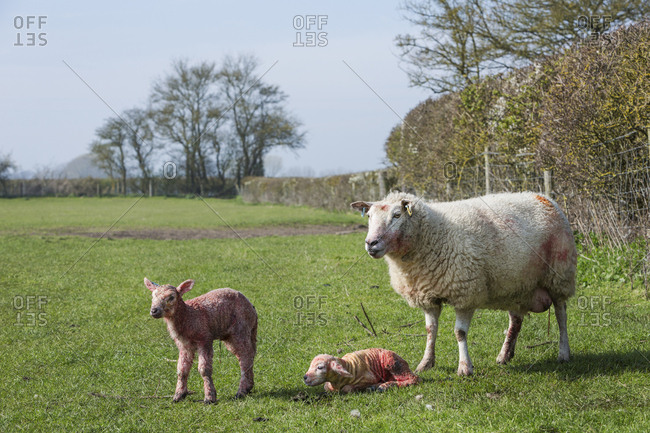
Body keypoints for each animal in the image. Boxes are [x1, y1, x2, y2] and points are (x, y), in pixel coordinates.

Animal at [350, 191, 577, 376]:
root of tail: (544, 198)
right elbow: (430, 330)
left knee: (561, 315)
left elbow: (460, 333)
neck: (433, 234)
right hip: (517, 286)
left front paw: (465, 367)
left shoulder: (465, 292)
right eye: (369, 217)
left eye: (397, 215)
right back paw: (505, 355)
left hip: (559, 275)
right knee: (516, 321)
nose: (371, 243)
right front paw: (425, 363)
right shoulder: (427, 296)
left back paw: (564, 353)